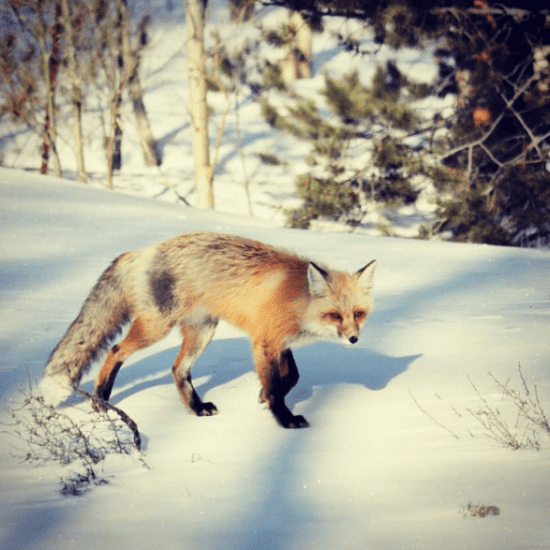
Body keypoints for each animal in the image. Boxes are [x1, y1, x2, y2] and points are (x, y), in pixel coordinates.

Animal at [45, 231, 378, 430]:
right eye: (335, 315)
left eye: (357, 314)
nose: (353, 338)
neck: (297, 299)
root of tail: (141, 251)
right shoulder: (264, 342)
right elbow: (276, 385)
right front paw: (283, 418)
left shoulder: (278, 342)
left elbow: (291, 376)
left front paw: (264, 396)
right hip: (157, 327)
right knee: (115, 352)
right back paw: (101, 400)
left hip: (202, 331)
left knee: (178, 368)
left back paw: (196, 408)